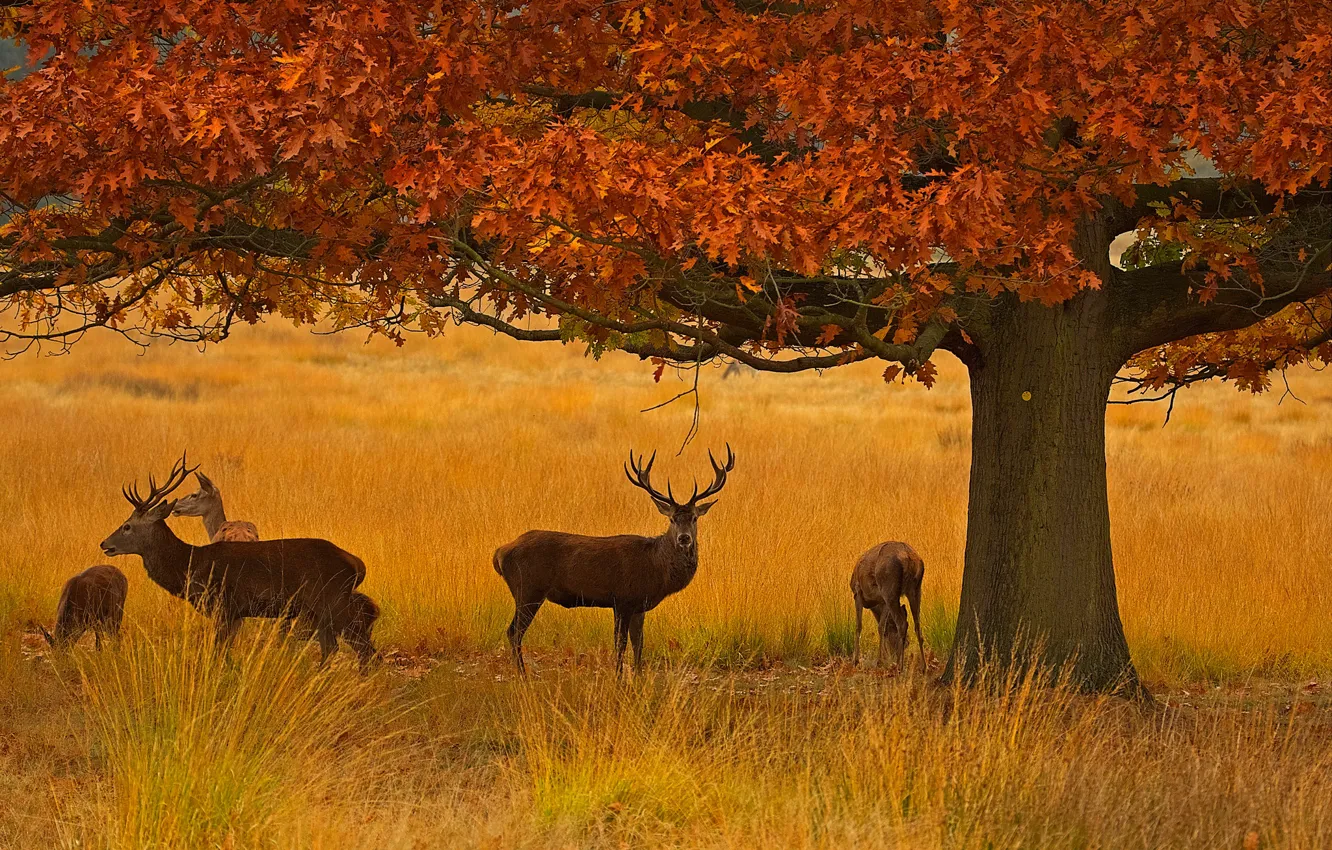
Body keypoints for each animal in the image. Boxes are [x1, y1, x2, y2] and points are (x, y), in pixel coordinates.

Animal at [99, 452, 370, 663]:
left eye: (127, 526)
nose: (104, 544)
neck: (190, 565)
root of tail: (357, 564)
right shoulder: (236, 613)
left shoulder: (223, 606)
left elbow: (218, 651)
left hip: (331, 601)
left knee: (355, 648)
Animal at [494, 445, 736, 676]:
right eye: (672, 519)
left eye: (694, 518)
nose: (684, 538)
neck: (655, 567)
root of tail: (500, 552)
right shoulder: (622, 599)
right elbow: (620, 644)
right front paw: (619, 677)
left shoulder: (639, 605)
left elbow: (639, 644)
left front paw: (638, 677)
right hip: (528, 589)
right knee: (514, 631)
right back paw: (522, 675)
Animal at [851, 541, 926, 670]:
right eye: (907, 643)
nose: (893, 654)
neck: (873, 603)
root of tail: (909, 558)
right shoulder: (883, 601)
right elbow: (882, 627)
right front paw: (881, 660)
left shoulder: (857, 593)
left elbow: (858, 626)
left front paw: (856, 661)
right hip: (915, 589)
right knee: (917, 625)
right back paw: (924, 666)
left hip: (889, 589)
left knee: (902, 623)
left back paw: (900, 665)